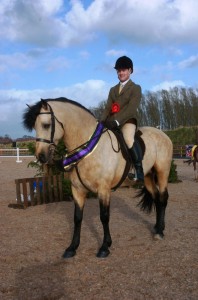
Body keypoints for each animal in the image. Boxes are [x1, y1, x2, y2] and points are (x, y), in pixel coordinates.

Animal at [22, 98, 172, 258]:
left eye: (46, 125)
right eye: (34, 126)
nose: (41, 156)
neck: (88, 148)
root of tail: (162, 134)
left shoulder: (103, 190)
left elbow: (104, 217)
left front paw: (105, 247)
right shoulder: (77, 190)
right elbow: (77, 218)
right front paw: (72, 247)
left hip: (162, 172)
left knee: (163, 198)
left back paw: (160, 232)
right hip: (148, 176)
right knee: (156, 198)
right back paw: (157, 228)